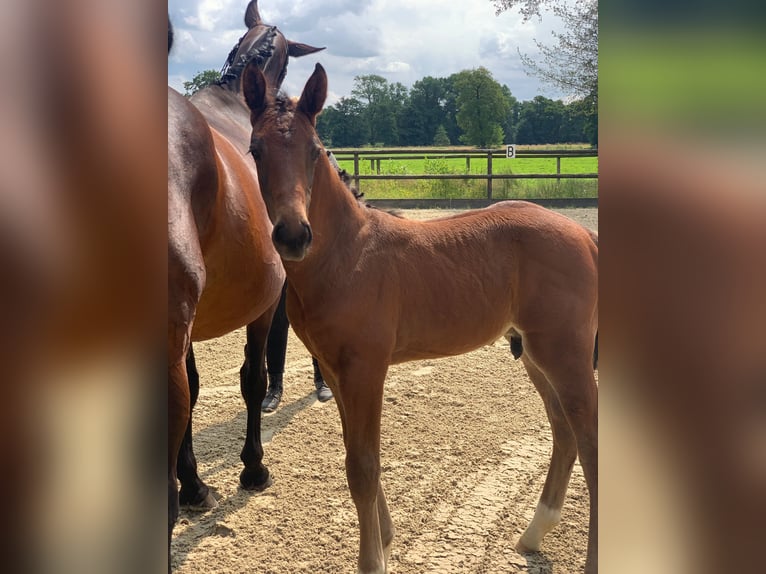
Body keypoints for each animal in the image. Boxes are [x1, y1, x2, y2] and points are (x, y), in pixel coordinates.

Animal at [243, 60, 604, 572]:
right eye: (256, 149)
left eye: (314, 151)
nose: (293, 235)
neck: (347, 256)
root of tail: (584, 236)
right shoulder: (334, 372)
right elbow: (355, 455)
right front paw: (387, 541)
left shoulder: (366, 371)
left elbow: (364, 467)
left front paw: (373, 560)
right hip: (537, 354)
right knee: (564, 432)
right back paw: (533, 534)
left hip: (565, 353)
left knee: (590, 443)